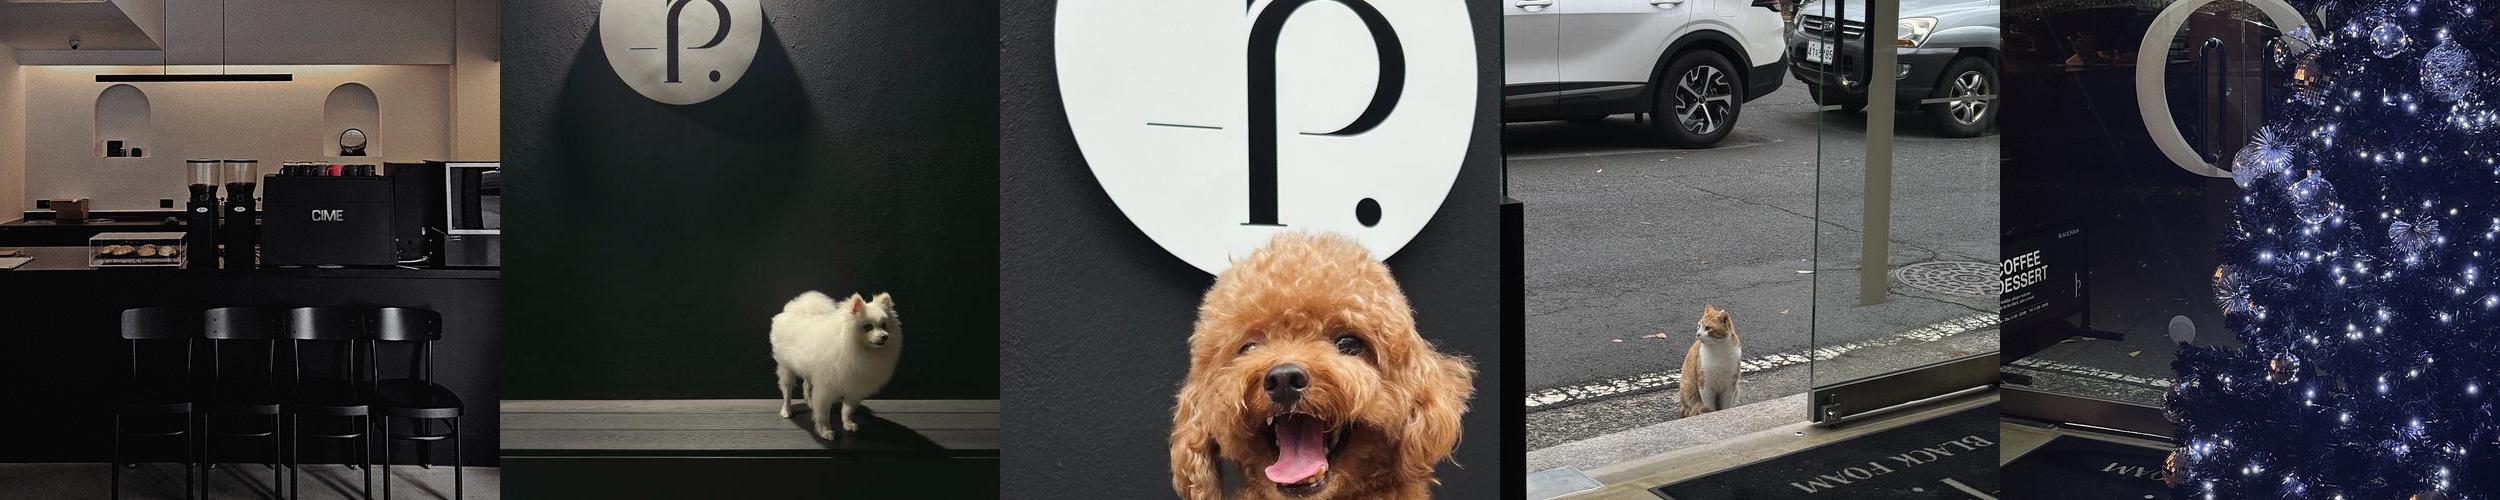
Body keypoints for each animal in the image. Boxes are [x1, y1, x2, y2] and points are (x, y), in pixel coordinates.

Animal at [770, 291, 902, 439]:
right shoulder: (825, 389)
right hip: (786, 368)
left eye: (884, 325)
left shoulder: (854, 388)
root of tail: (793, 311)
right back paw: (786, 411)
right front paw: (825, 431)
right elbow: (823, 414)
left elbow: (847, 410)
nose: (885, 336)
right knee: (787, 392)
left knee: (806, 385)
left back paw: (810, 404)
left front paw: (848, 424)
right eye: (868, 327)